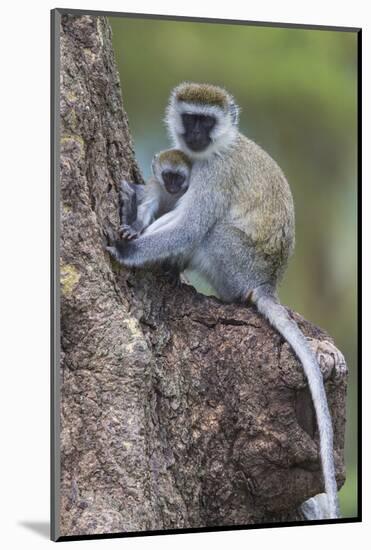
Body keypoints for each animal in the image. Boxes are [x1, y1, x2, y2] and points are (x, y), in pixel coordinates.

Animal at [107, 82, 340, 520]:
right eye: (190, 118)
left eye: (206, 121)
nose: (195, 134)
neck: (216, 149)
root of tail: (264, 283)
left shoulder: (212, 175)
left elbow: (191, 225)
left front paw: (129, 248)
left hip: (233, 260)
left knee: (209, 231)